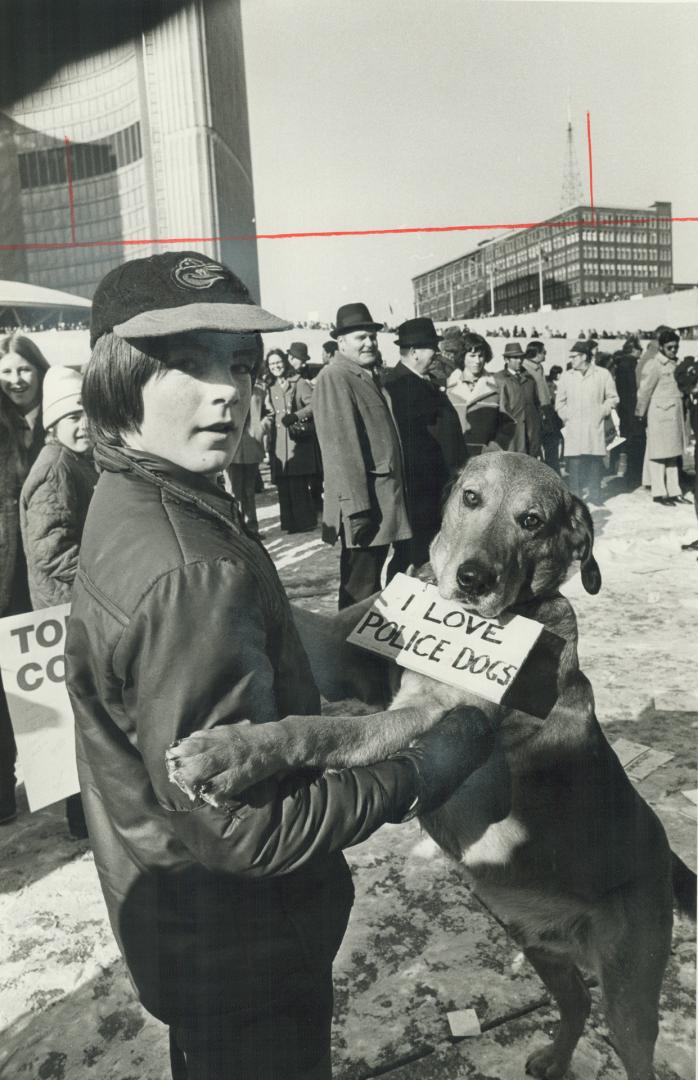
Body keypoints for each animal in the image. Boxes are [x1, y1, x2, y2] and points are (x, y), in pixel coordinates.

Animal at [168, 451, 695, 1075]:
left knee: (629, 1038)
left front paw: (233, 752)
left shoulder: (424, 715)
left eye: (533, 521)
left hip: (630, 995)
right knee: (576, 998)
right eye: (471, 498)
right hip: (535, 938)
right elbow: (305, 630)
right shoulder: (347, 649)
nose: (474, 580)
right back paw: (555, 1057)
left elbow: (320, 730)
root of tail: (666, 856)